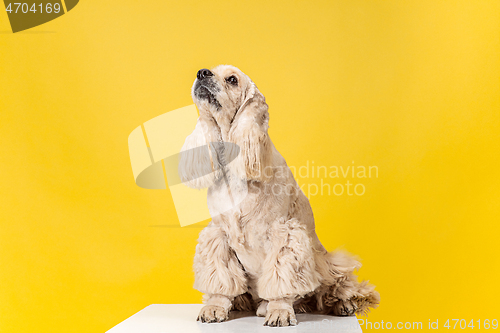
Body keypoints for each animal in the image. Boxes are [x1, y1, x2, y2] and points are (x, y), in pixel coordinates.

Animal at [178, 63, 376, 326]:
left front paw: (280, 311)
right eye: (209, 70)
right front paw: (214, 307)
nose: (201, 73)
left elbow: (281, 279)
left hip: (328, 263)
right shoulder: (218, 233)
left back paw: (342, 304)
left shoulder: (284, 232)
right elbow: (220, 278)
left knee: (339, 287)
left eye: (232, 79)